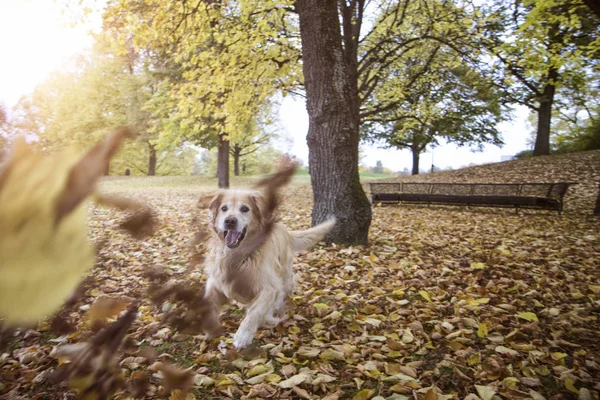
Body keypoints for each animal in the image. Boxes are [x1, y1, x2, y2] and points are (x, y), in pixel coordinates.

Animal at [199, 186, 336, 348]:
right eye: (224, 208)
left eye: (245, 209)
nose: (230, 221)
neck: (238, 256)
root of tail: (285, 230)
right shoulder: (216, 282)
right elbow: (207, 304)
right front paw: (209, 328)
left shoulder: (270, 287)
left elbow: (256, 311)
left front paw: (244, 335)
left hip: (285, 275)